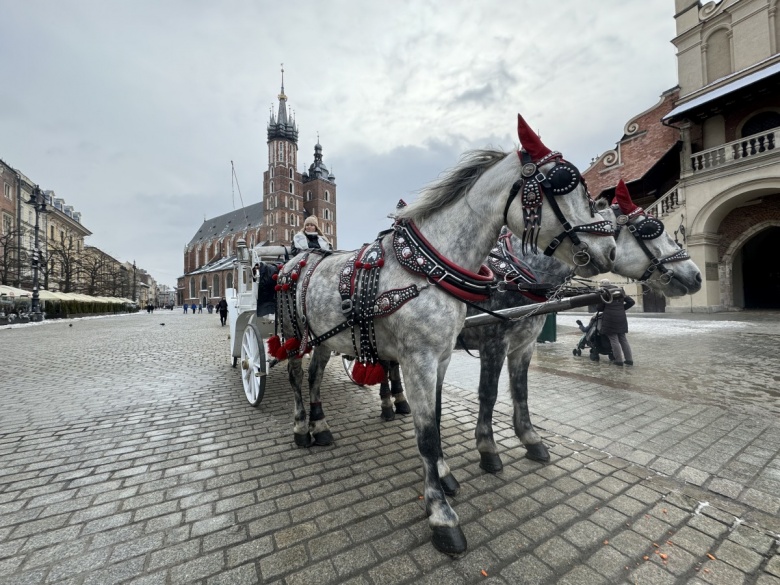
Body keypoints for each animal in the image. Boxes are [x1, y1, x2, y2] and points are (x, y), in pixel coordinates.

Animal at [272, 114, 620, 552]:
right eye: (561, 181)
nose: (608, 250)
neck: (431, 268)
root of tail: (299, 257)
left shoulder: (441, 358)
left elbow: (436, 420)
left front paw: (445, 475)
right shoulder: (419, 361)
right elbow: (426, 435)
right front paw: (441, 514)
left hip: (325, 339)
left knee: (316, 377)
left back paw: (321, 428)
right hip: (294, 337)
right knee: (295, 378)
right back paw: (301, 428)